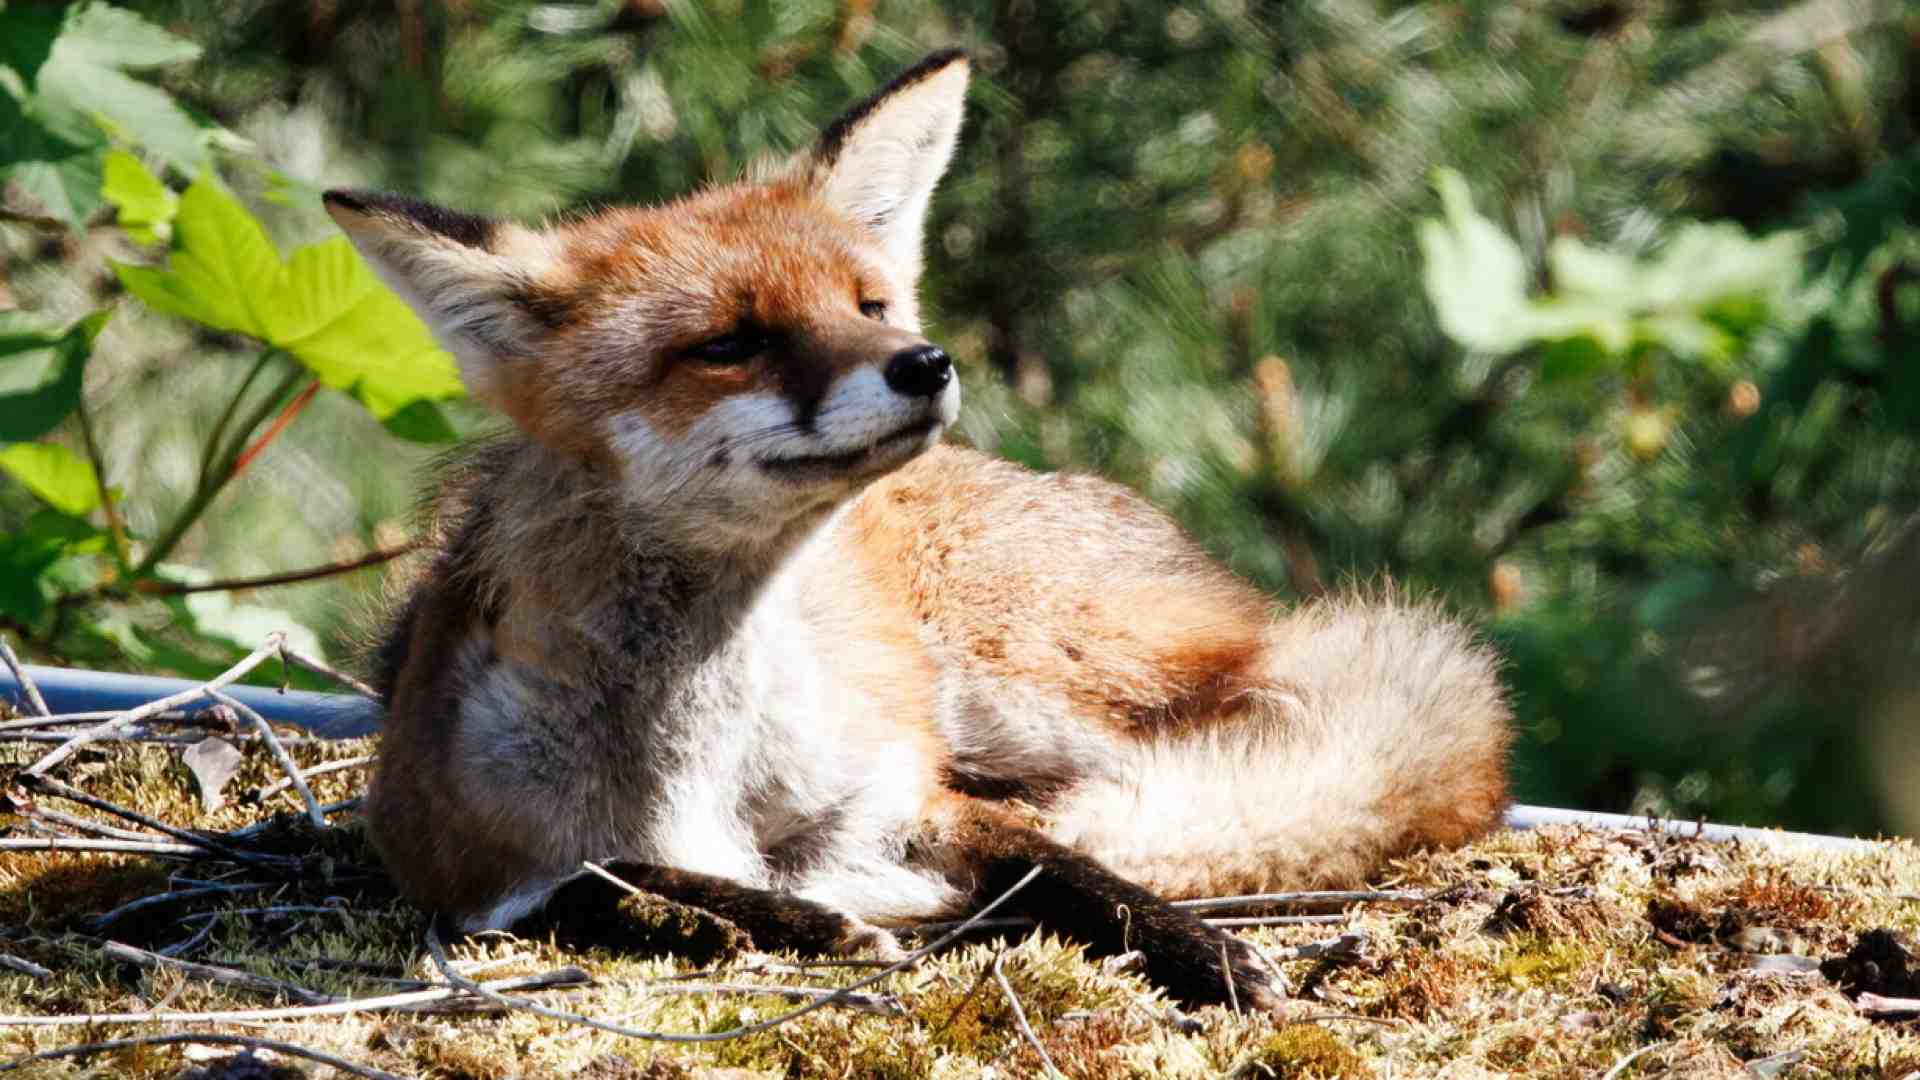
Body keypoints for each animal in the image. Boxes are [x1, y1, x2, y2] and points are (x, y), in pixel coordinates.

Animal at [325, 48, 1512, 1012]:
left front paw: (1199, 950)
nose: (924, 362)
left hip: (1041, 682)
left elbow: (1065, 864)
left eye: (869, 305)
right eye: (730, 344)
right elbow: (589, 881)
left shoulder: (917, 797)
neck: (705, 759)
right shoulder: (445, 860)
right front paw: (755, 916)